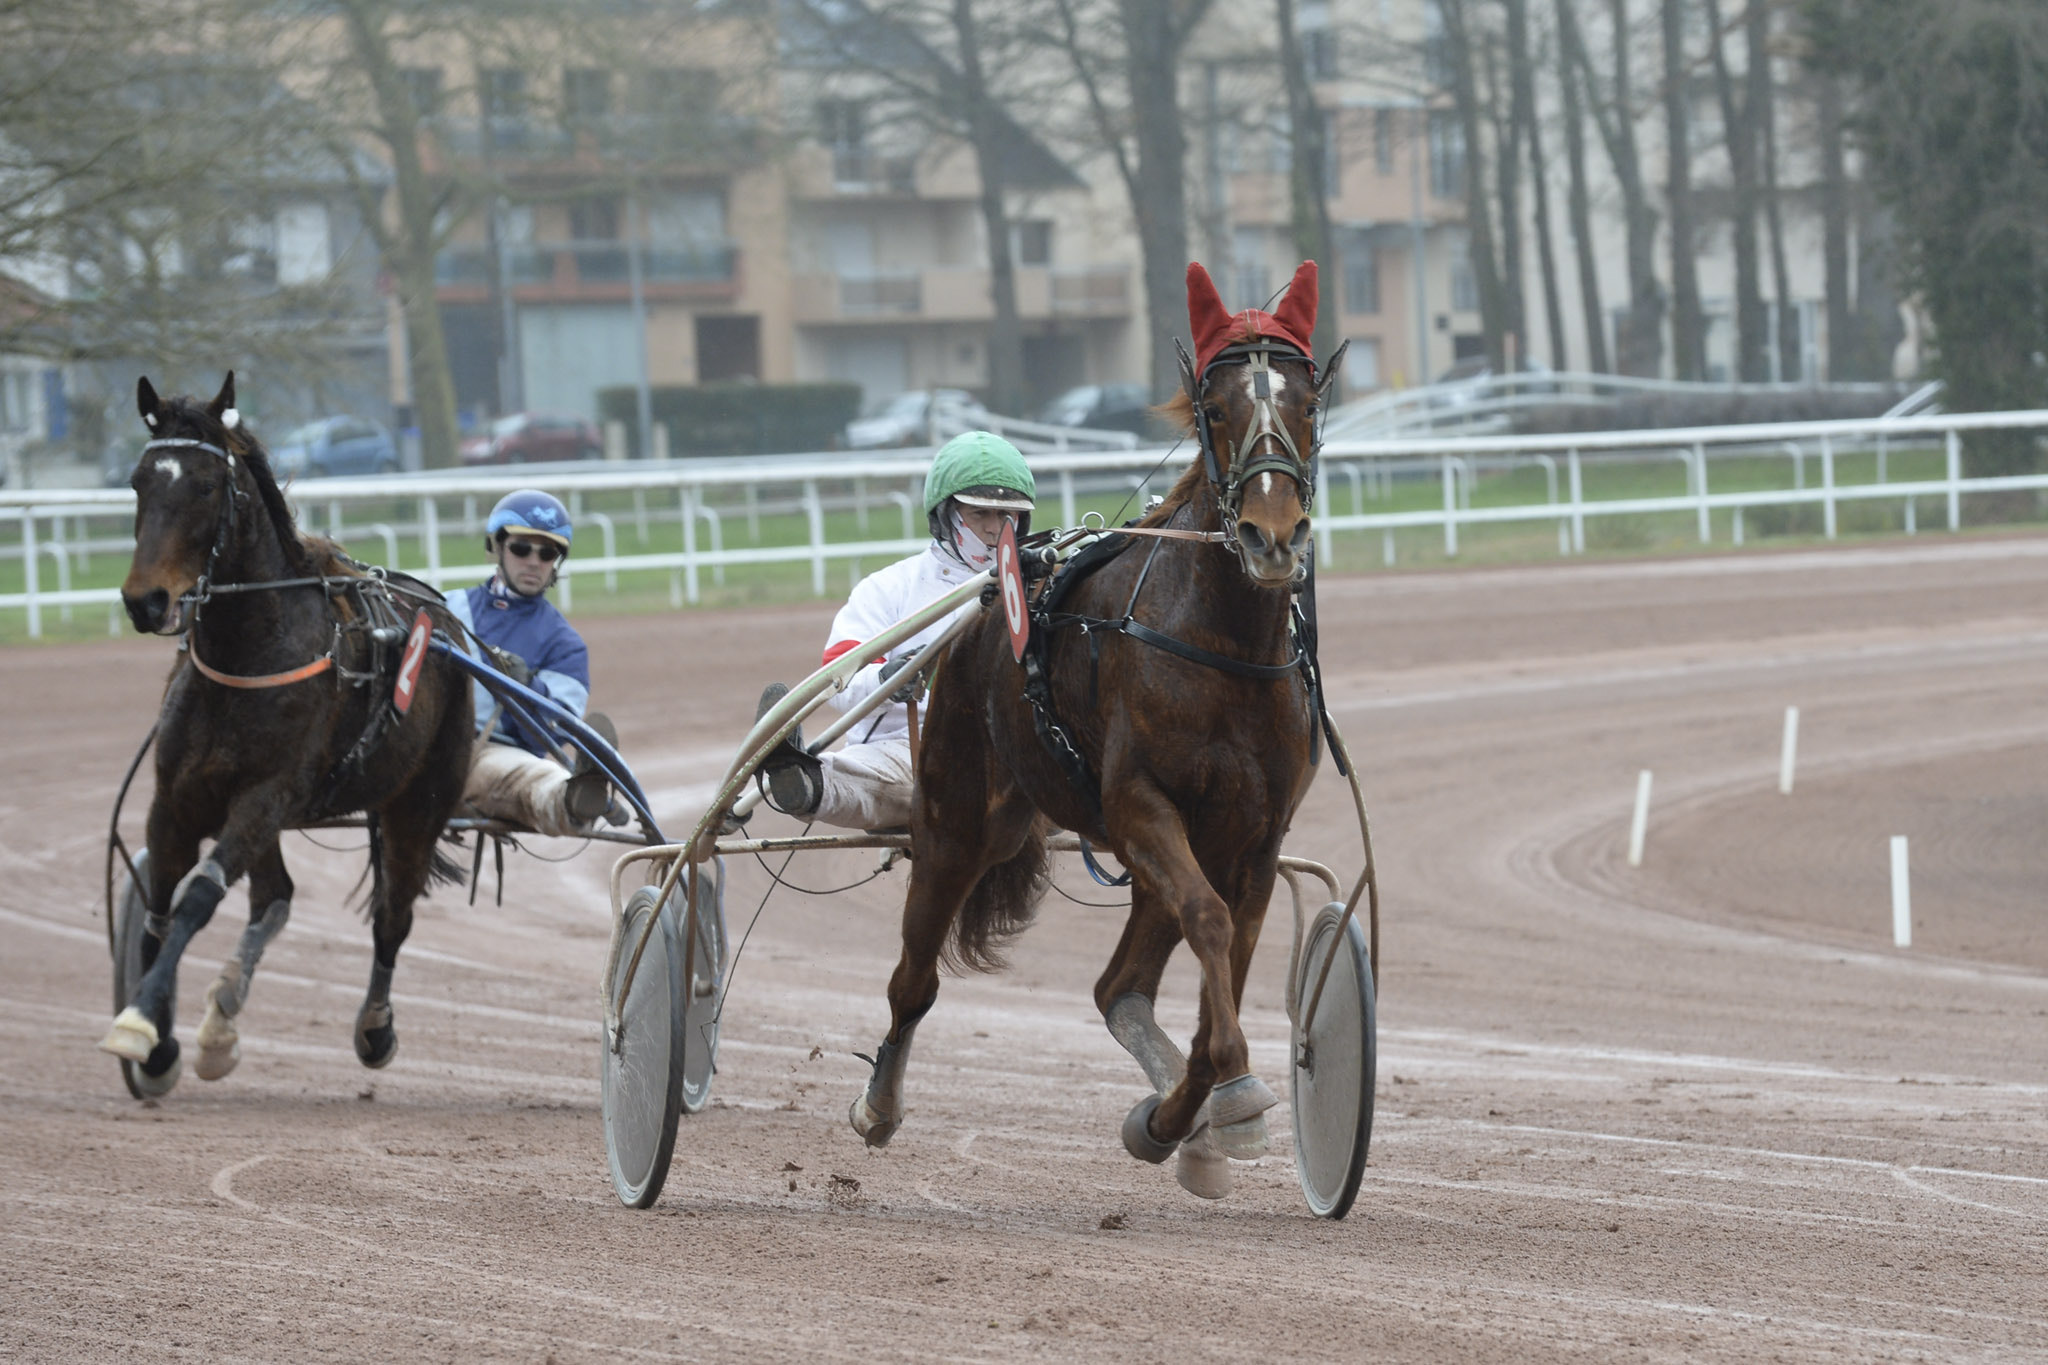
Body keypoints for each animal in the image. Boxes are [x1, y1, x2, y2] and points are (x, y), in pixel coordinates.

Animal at [96, 370, 471, 1088]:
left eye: (205, 485)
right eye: (138, 480)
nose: (145, 600)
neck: (248, 654)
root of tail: (447, 620)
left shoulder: (266, 795)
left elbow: (198, 899)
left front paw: (140, 1022)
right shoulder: (177, 799)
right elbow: (159, 908)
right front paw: (159, 1043)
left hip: (420, 801)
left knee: (393, 915)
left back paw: (375, 1027)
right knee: (276, 896)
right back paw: (220, 1022)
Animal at [847, 261, 1343, 1203]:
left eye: (1306, 402)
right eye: (1217, 407)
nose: (1272, 536)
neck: (1222, 645)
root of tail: (972, 619)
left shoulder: (1255, 835)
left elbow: (1230, 954)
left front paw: (1187, 1117)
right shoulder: (1143, 805)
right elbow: (1211, 924)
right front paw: (1230, 1096)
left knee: (1121, 985)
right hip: (956, 825)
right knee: (911, 979)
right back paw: (879, 1103)